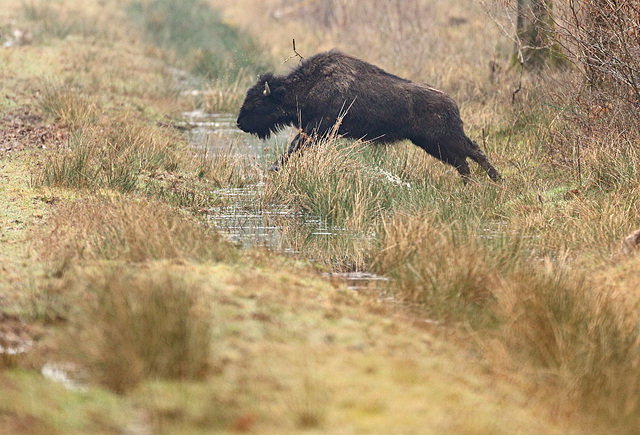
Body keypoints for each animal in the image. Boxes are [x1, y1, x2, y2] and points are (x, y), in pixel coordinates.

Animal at [238, 50, 502, 181]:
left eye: (258, 101)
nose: (240, 123)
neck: (310, 85)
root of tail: (452, 103)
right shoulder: (318, 132)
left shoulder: (317, 129)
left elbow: (294, 147)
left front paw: (274, 168)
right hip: (432, 144)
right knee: (464, 161)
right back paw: (476, 184)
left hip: (443, 140)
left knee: (472, 151)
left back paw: (495, 179)